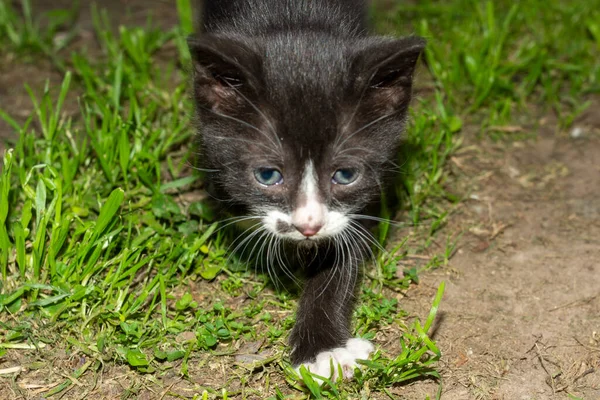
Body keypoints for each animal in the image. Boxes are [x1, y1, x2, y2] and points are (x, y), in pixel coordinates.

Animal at [190, 0, 424, 380]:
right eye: (268, 175)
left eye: (345, 174)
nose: (309, 226)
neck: (294, 18)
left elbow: (342, 255)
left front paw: (324, 349)